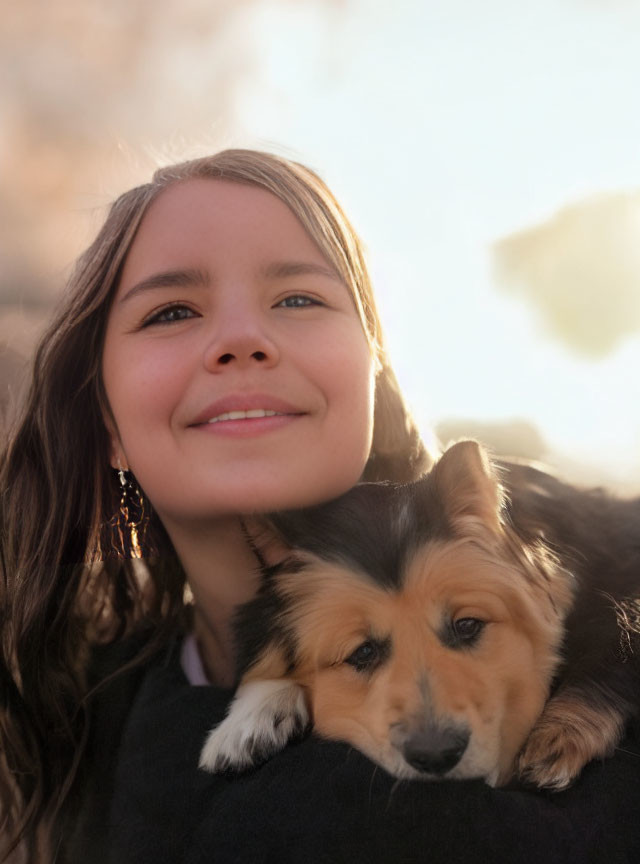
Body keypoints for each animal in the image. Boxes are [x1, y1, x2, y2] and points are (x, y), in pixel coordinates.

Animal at [200, 442, 640, 788]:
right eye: (362, 652)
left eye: (467, 625)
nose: (436, 756)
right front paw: (244, 724)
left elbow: (613, 646)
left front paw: (559, 735)